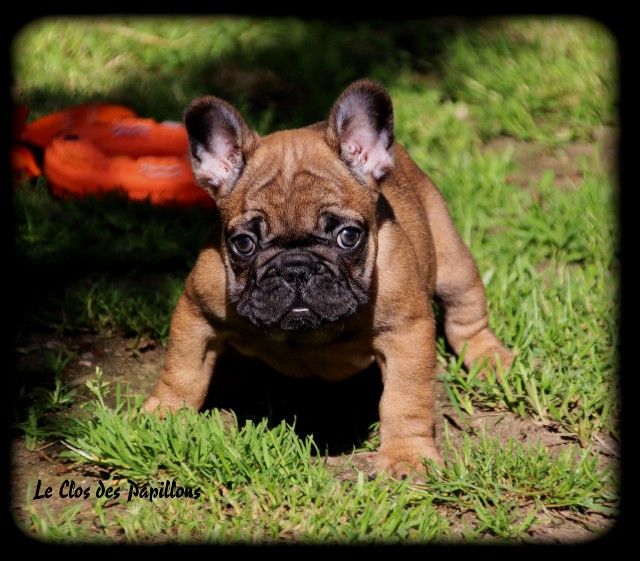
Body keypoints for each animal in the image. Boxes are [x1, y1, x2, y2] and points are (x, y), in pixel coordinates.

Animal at [146, 79, 516, 476]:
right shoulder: (196, 312)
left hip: (452, 260)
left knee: (466, 313)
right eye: (243, 243)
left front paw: (406, 455)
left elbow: (406, 398)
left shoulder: (407, 331)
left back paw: (490, 359)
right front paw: (163, 416)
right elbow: (181, 370)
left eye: (348, 236)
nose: (296, 269)